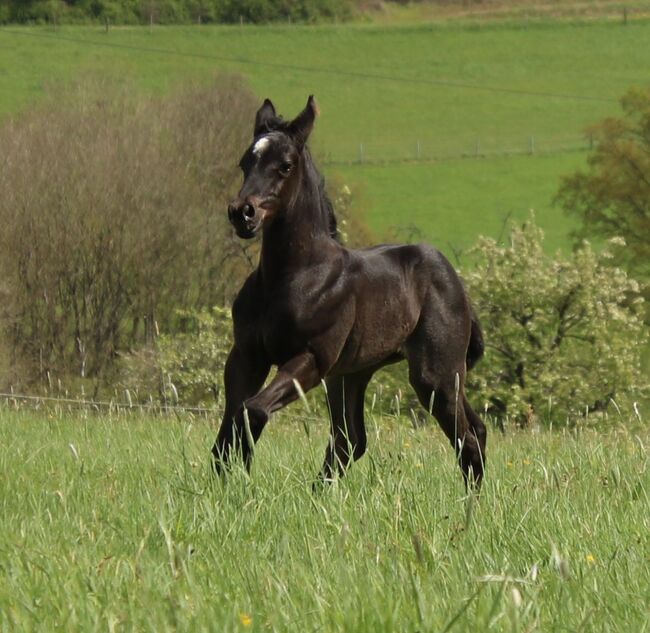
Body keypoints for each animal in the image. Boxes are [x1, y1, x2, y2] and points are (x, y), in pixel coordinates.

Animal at [210, 96, 484, 486]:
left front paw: (241, 479)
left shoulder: (312, 358)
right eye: (245, 162)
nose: (242, 213)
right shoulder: (247, 356)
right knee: (352, 439)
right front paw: (225, 482)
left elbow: (253, 411)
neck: (292, 276)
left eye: (285, 165)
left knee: (467, 437)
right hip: (351, 375)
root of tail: (456, 283)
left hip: (437, 376)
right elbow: (228, 426)